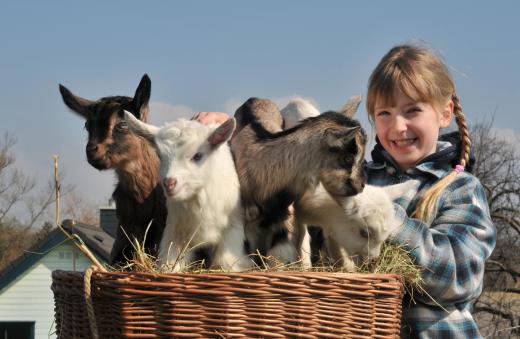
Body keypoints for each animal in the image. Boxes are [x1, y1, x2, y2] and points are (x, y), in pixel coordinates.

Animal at [122, 112, 252, 274]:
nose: (169, 183)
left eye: (198, 156)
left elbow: (226, 263)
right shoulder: (175, 232)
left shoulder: (233, 227)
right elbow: (171, 263)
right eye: (160, 156)